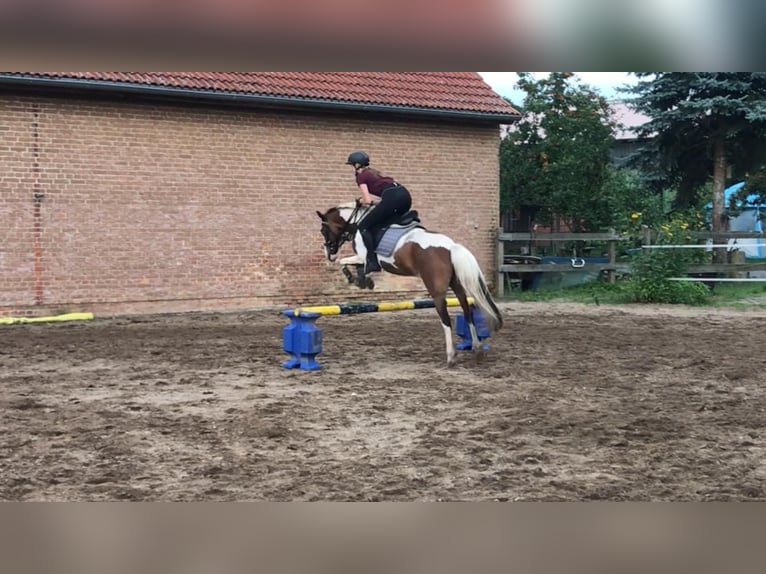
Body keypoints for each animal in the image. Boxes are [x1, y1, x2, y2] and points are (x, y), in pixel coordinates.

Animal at [318, 200, 504, 366]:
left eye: (323, 230)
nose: (329, 253)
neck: (357, 221)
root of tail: (451, 247)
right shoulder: (362, 259)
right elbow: (353, 266)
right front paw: (364, 281)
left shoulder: (363, 257)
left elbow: (344, 263)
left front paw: (356, 279)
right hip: (457, 286)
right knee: (467, 312)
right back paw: (477, 349)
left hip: (436, 291)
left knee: (445, 320)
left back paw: (451, 357)